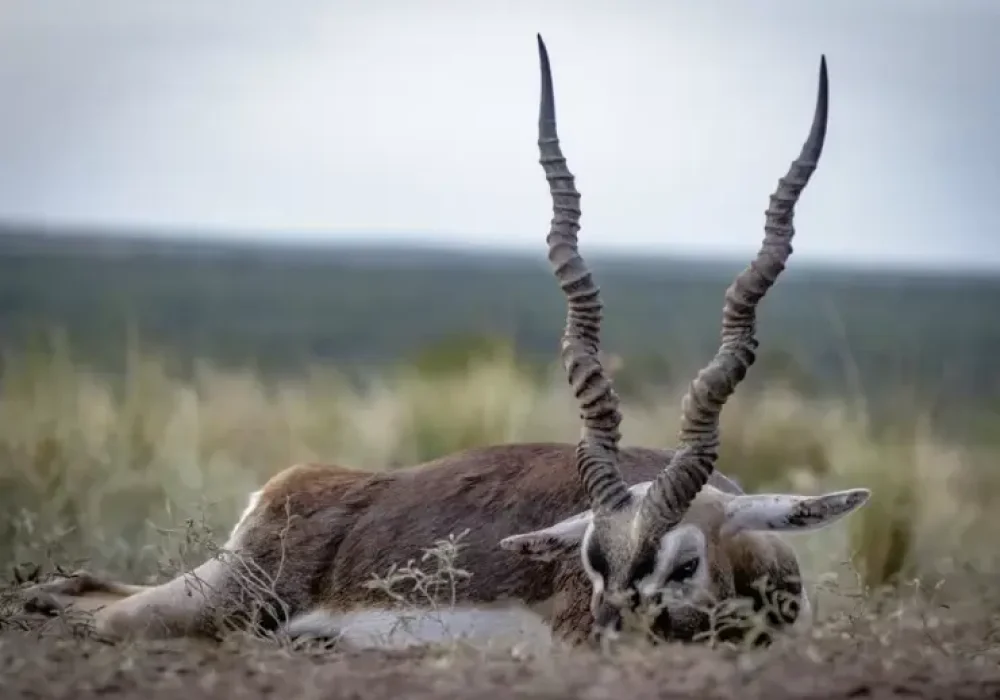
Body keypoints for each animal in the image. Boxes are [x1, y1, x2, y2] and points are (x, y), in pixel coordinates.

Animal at [20, 35, 869, 650]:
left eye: (685, 560)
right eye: (592, 559)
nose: (610, 638)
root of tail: (297, 482)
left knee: (77, 587)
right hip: (211, 606)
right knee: (96, 611)